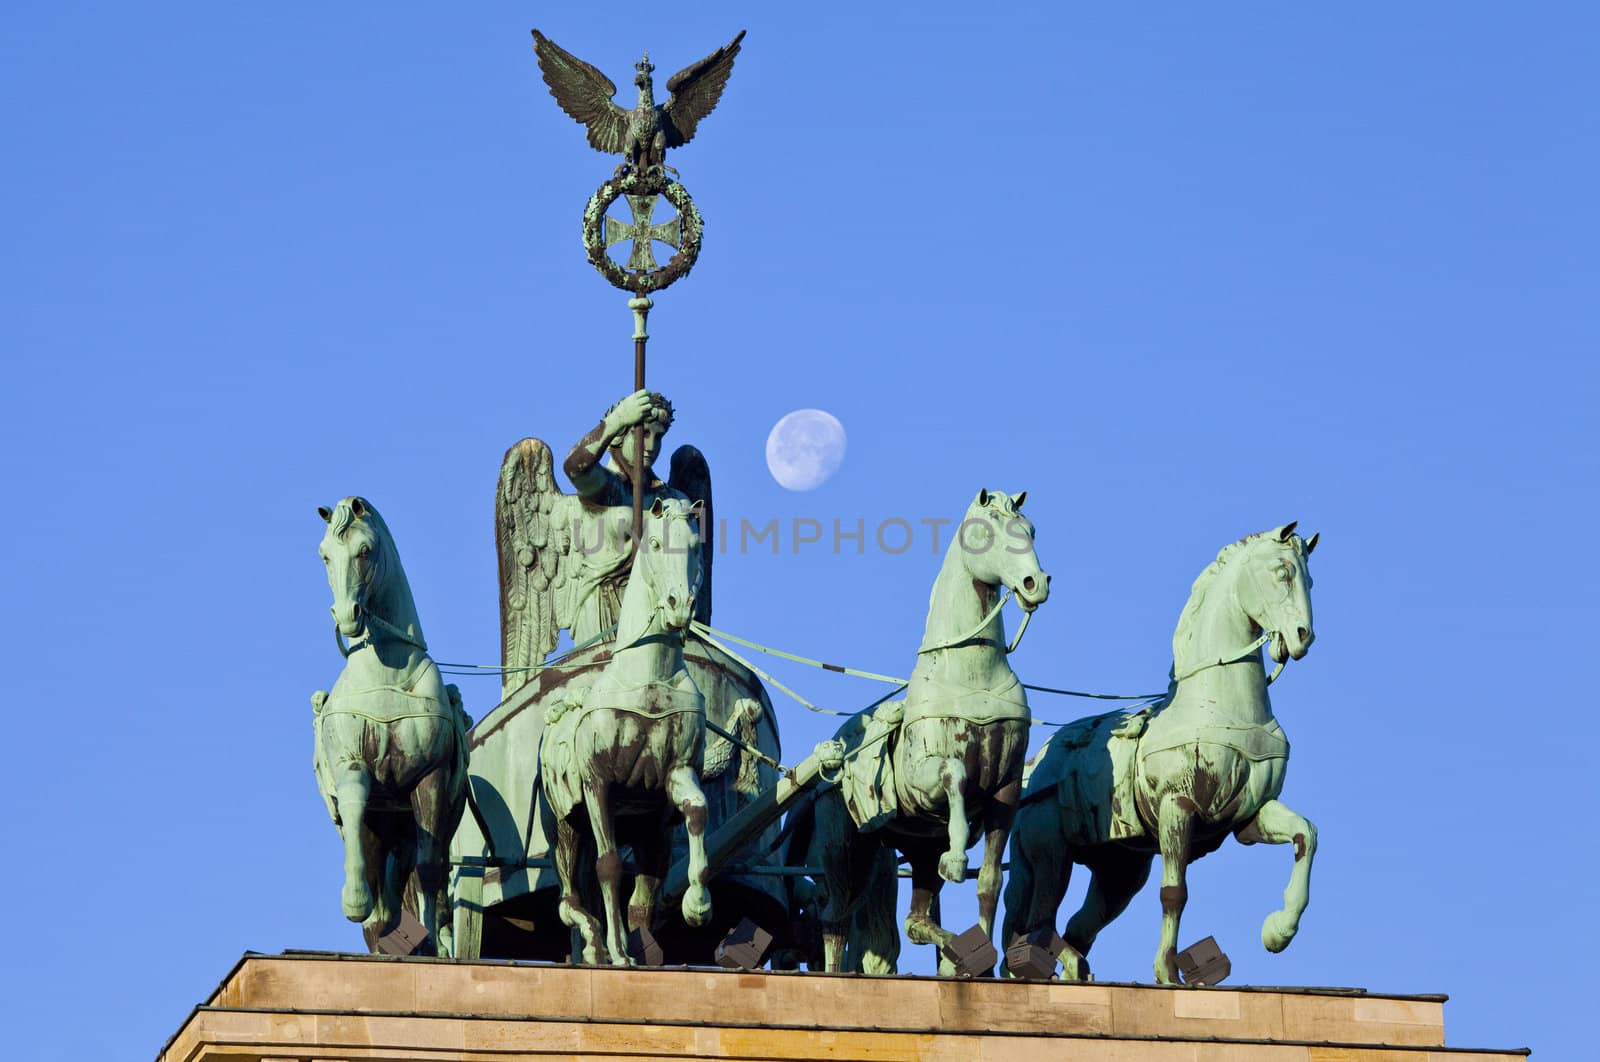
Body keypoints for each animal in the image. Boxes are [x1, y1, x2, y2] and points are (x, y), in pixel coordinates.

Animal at [308, 499, 467, 953]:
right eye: (325, 555)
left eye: (365, 550)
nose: (347, 616)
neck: (386, 674)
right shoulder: (352, 766)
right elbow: (355, 802)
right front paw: (354, 900)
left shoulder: (429, 777)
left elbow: (430, 869)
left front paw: (436, 946)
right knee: (383, 897)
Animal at [540, 495, 710, 959]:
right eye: (654, 543)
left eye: (697, 545)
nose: (680, 605)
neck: (648, 678)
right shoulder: (599, 783)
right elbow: (610, 864)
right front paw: (618, 952)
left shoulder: (676, 773)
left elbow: (698, 811)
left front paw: (698, 904)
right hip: (566, 827)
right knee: (569, 899)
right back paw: (595, 942)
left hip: (649, 831)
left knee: (644, 888)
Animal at [800, 489, 1049, 972]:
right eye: (986, 530)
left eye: (1030, 529)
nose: (1035, 583)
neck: (972, 676)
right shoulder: (921, 779)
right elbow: (955, 774)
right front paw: (955, 856)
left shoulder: (1006, 790)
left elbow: (989, 881)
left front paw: (985, 955)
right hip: (845, 850)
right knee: (835, 917)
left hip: (914, 849)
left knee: (915, 923)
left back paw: (956, 951)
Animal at [998, 527, 1324, 985]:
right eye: (1282, 572)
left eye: (1309, 580)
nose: (1302, 635)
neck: (1216, 705)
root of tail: (1031, 771)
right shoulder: (1177, 807)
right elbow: (1175, 893)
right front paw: (1167, 972)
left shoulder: (1248, 814)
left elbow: (1305, 835)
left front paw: (1278, 931)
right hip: (1050, 854)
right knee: (1038, 923)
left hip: (1118, 872)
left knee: (1075, 927)